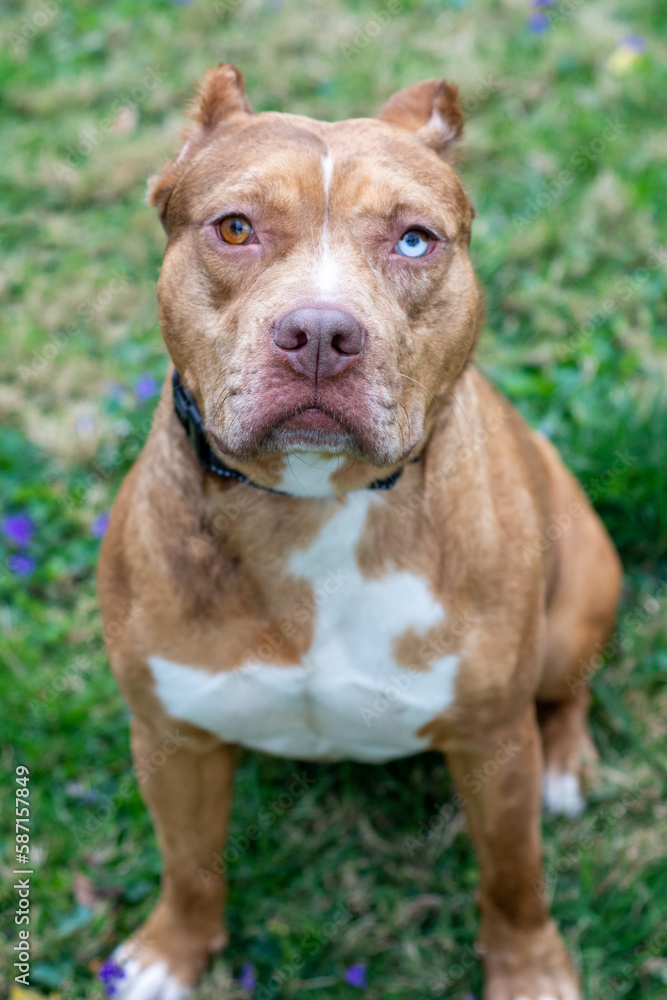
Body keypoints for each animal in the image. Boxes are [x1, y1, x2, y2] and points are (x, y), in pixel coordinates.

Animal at [98, 64, 620, 1000]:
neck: (314, 504)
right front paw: (171, 953)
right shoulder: (173, 738)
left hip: (574, 606)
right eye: (235, 228)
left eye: (413, 241)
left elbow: (512, 875)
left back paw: (565, 766)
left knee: (566, 692)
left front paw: (529, 969)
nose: (318, 333)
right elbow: (189, 865)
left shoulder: (493, 742)